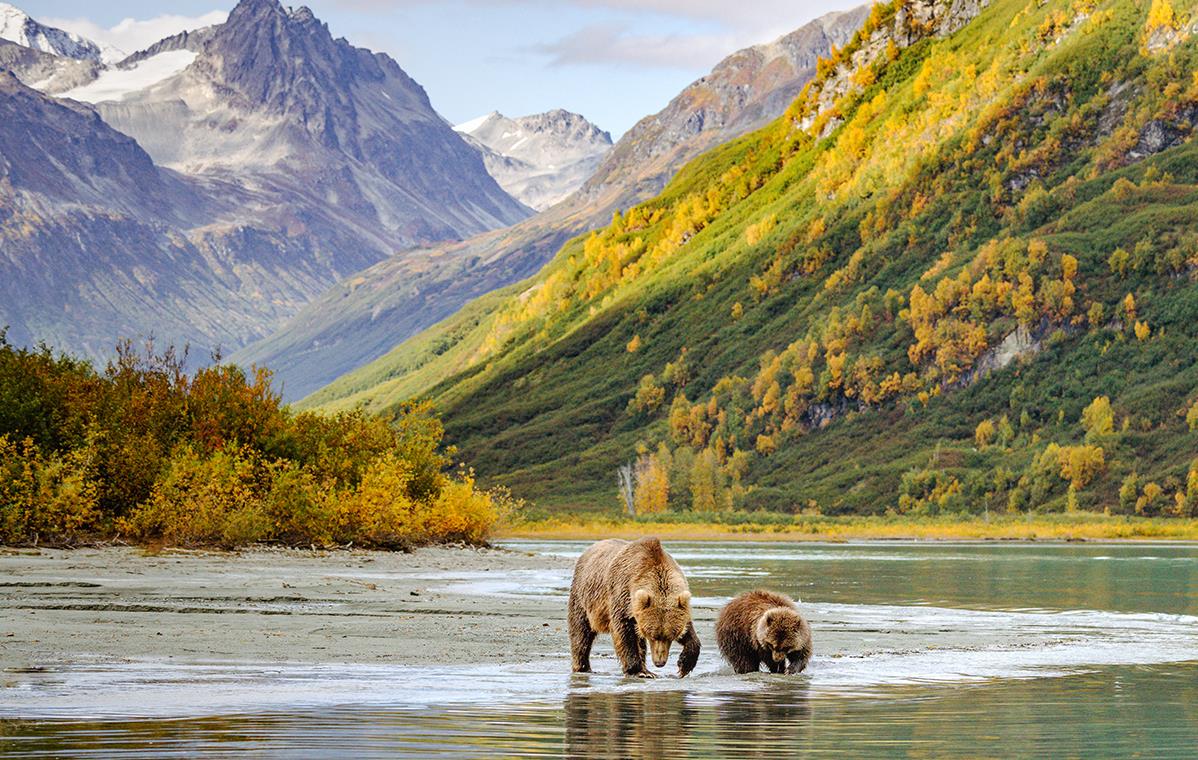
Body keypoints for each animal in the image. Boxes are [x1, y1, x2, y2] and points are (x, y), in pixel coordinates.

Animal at [570, 532, 699, 676]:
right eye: (652, 635)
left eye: (671, 635)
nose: (659, 663)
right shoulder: (622, 596)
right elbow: (624, 632)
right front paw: (638, 670)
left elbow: (689, 631)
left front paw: (684, 665)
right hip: (582, 594)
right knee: (580, 630)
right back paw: (583, 666)